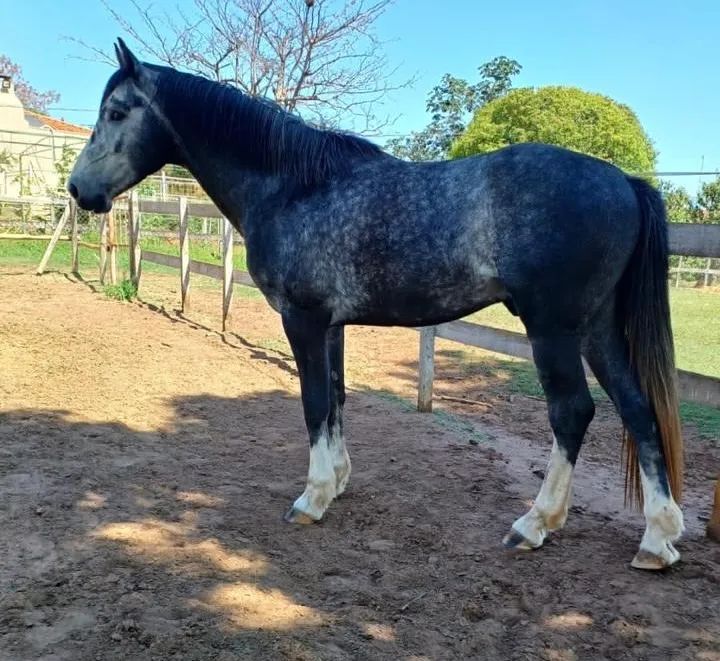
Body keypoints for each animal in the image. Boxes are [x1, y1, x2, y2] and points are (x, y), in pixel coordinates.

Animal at [69, 39, 685, 570]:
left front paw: (312, 498)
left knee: (572, 413)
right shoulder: (332, 326)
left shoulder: (302, 319)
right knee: (637, 409)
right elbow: (337, 399)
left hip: (553, 328)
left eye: (118, 112)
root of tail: (623, 181)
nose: (78, 190)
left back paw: (535, 524)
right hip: (596, 328)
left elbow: (314, 402)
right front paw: (337, 481)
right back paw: (656, 540)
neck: (293, 187)